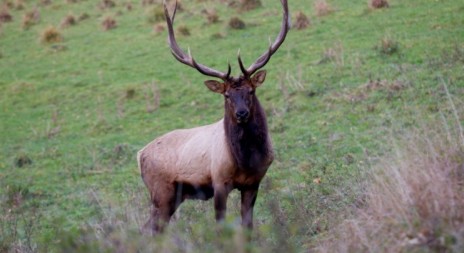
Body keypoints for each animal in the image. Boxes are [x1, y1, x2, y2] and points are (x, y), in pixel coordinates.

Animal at [138, 0, 290, 234]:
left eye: (251, 91)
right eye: (227, 95)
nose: (242, 113)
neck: (246, 161)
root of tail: (139, 155)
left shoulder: (254, 182)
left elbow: (248, 226)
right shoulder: (219, 181)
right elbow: (221, 226)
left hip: (173, 196)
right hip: (160, 192)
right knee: (151, 228)